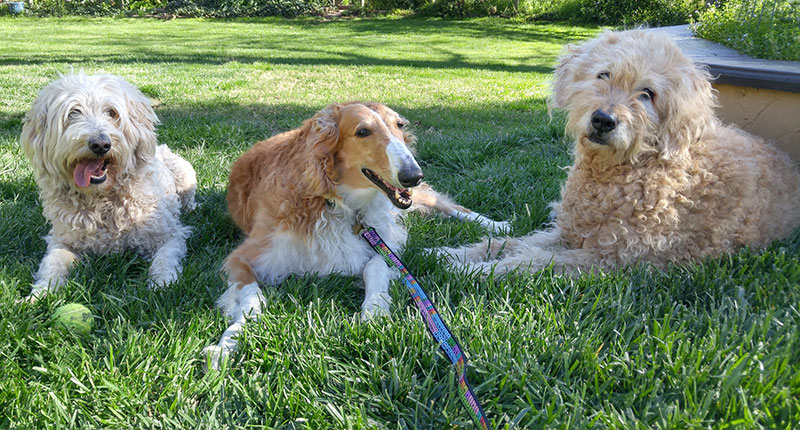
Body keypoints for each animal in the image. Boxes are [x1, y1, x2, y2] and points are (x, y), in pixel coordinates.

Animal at [19, 73, 197, 298]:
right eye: (73, 113)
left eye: (112, 112)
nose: (100, 144)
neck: (101, 198)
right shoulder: (62, 240)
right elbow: (53, 263)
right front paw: (40, 292)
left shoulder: (168, 236)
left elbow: (164, 260)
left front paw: (163, 284)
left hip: (184, 174)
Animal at [205, 102, 506, 368]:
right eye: (363, 131)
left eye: (399, 125)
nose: (413, 175)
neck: (336, 202)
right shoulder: (242, 257)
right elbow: (252, 300)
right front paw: (227, 344)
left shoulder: (383, 239)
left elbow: (375, 267)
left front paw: (374, 311)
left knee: (446, 204)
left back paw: (495, 225)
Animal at [434, 30, 800, 274]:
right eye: (604, 74)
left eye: (648, 94)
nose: (603, 120)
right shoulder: (569, 232)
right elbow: (512, 242)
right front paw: (452, 254)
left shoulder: (607, 258)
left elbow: (530, 262)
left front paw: (476, 271)